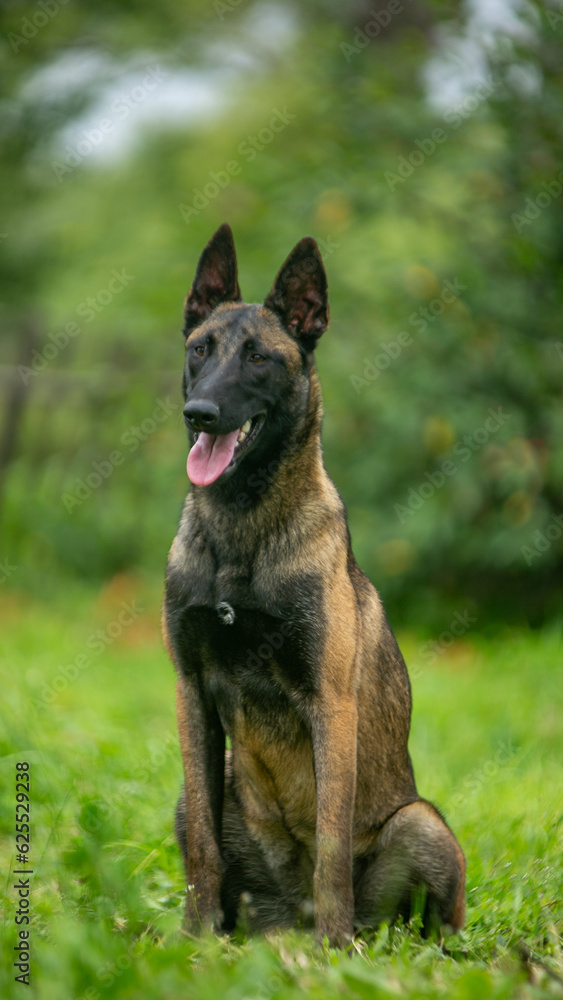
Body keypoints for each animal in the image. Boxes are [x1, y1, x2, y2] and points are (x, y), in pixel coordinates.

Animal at [161, 223, 464, 948]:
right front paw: (192, 939)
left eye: (259, 358)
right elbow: (203, 848)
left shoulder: (329, 705)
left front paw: (333, 954)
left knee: (426, 917)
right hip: (193, 797)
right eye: (199, 350)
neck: (241, 529)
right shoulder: (191, 692)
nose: (199, 413)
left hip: (422, 824)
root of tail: (284, 917)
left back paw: (356, 941)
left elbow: (329, 843)